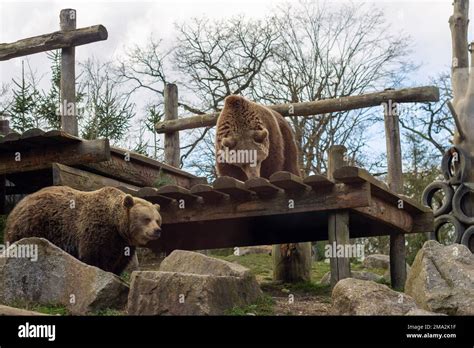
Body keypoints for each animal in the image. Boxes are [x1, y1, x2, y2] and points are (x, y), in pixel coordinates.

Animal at [3, 186, 163, 276]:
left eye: (158, 219)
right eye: (146, 219)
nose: (157, 230)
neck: (117, 225)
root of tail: (19, 203)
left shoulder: (122, 243)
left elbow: (119, 260)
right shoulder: (96, 229)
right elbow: (94, 255)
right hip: (34, 225)